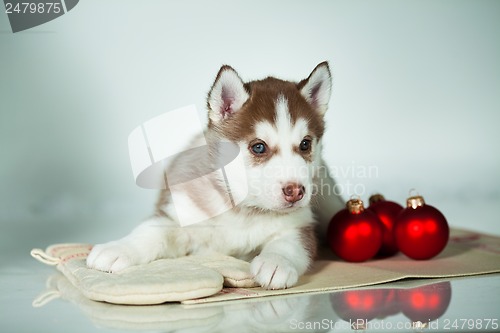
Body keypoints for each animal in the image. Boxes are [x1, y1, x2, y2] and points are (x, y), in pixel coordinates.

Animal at [87, 63, 344, 288]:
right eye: (259, 147)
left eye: (305, 144)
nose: (296, 191)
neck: (243, 212)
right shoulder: (182, 217)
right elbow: (153, 231)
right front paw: (118, 248)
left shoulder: (299, 224)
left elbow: (291, 243)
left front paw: (276, 262)